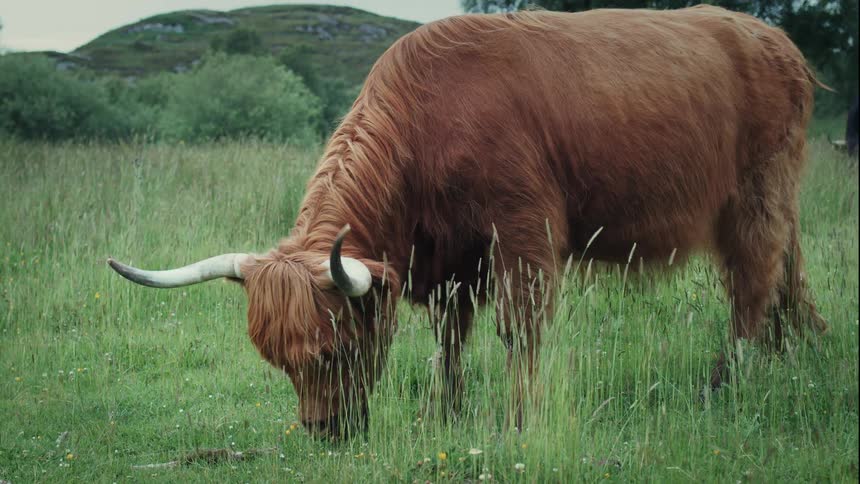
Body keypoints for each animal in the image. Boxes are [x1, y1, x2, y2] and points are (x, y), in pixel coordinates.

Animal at [109, 5, 828, 439]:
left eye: (334, 350)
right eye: (277, 360)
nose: (324, 431)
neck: (426, 130)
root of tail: (773, 38)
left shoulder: (522, 232)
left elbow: (519, 330)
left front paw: (519, 418)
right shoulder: (449, 259)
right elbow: (450, 340)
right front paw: (443, 413)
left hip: (755, 196)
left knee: (752, 282)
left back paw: (726, 382)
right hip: (777, 202)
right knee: (786, 276)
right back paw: (792, 353)